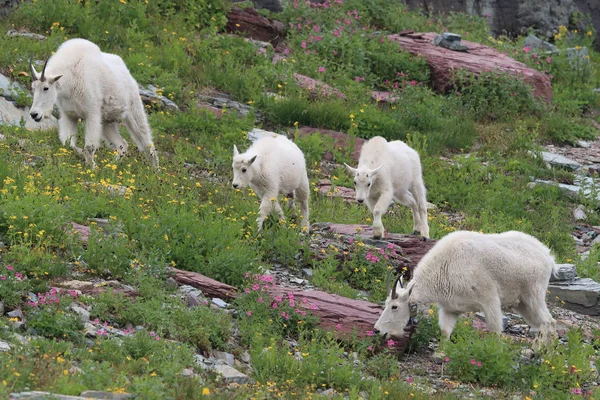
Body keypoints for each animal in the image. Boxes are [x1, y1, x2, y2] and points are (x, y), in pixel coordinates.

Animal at [28, 38, 159, 169]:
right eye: (33, 88)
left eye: (46, 88)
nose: (34, 114)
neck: (71, 78)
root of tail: (128, 74)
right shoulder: (69, 115)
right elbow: (68, 143)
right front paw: (82, 155)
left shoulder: (92, 114)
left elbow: (89, 147)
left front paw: (91, 167)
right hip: (106, 122)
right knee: (122, 144)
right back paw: (112, 166)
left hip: (134, 110)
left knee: (147, 142)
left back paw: (155, 170)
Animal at [376, 231, 556, 344]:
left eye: (394, 307)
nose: (377, 330)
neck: (444, 267)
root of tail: (548, 256)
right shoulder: (450, 308)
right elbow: (445, 331)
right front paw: (441, 353)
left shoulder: (489, 299)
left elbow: (495, 331)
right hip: (521, 304)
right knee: (547, 324)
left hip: (534, 295)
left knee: (548, 321)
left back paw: (538, 352)